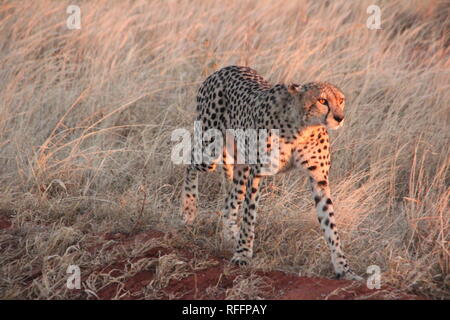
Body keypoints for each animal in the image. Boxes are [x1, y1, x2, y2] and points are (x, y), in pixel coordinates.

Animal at [179, 65, 362, 280]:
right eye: (322, 101)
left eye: (341, 100)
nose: (339, 118)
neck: (303, 127)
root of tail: (223, 69)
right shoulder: (257, 173)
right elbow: (250, 216)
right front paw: (243, 254)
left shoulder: (319, 179)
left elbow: (330, 225)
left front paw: (344, 269)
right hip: (210, 151)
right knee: (190, 161)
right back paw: (188, 213)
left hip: (241, 167)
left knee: (230, 202)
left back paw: (230, 235)